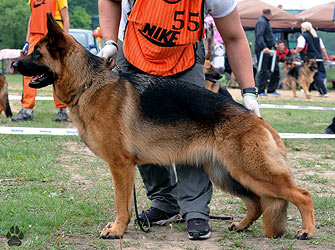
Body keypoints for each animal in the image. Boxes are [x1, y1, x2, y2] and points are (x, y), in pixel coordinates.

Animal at [13, 14, 316, 240]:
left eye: (36, 53)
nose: (14, 63)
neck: (88, 83)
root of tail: (257, 120)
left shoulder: (120, 166)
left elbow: (121, 204)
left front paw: (117, 230)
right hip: (228, 174)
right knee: (257, 202)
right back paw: (240, 226)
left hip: (250, 172)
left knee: (302, 194)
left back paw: (307, 230)